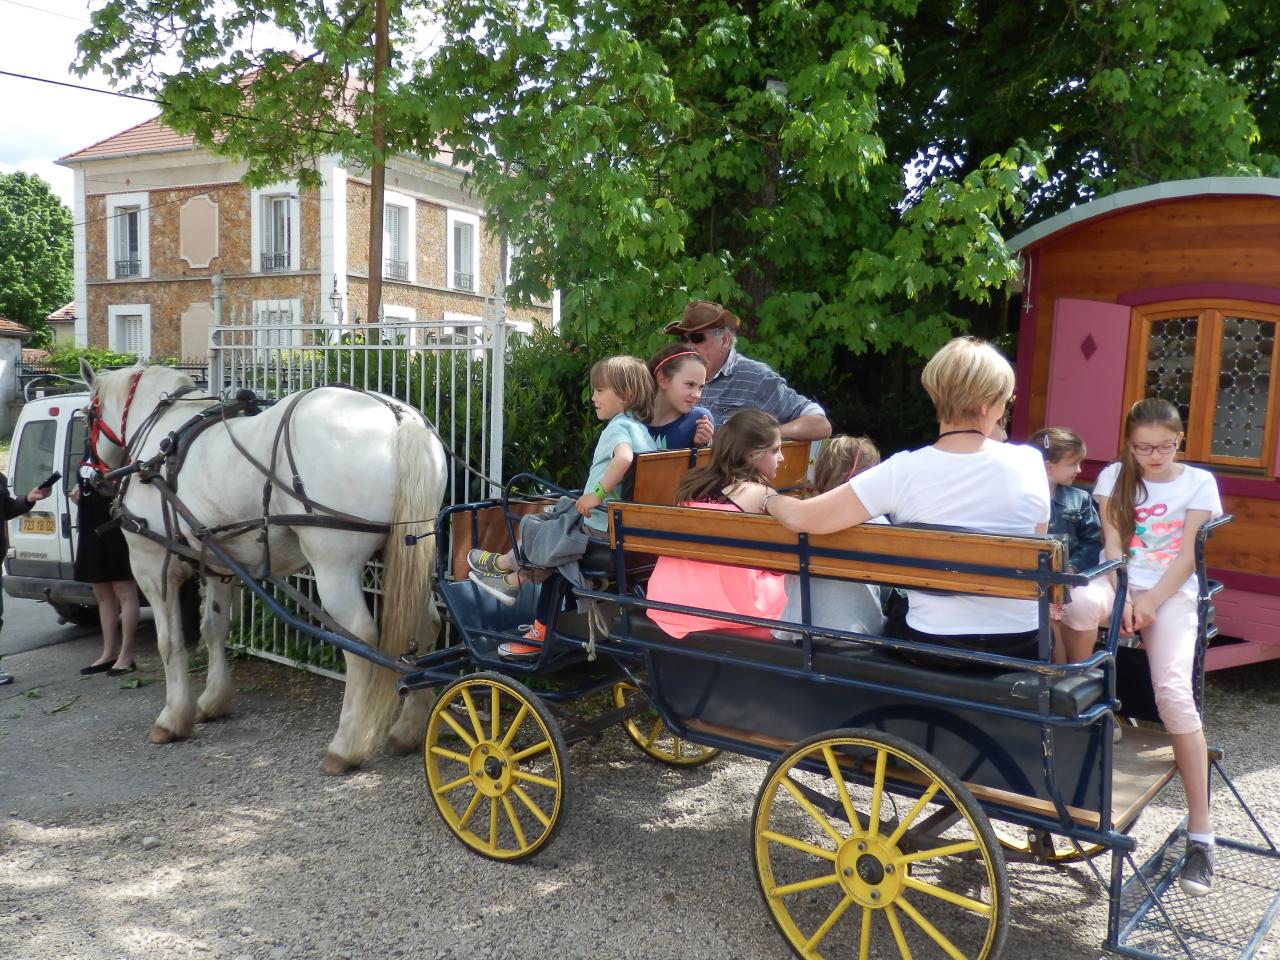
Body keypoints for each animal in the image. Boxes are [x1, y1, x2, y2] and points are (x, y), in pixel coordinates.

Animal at [82, 360, 448, 773]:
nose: (90, 476)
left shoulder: (151, 564)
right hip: (409, 550)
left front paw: (173, 718)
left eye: (88, 414)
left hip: (335, 566)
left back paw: (346, 745)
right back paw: (409, 729)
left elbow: (170, 642)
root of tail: (396, 415)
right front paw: (213, 700)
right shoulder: (218, 561)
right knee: (427, 624)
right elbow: (214, 629)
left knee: (359, 638)